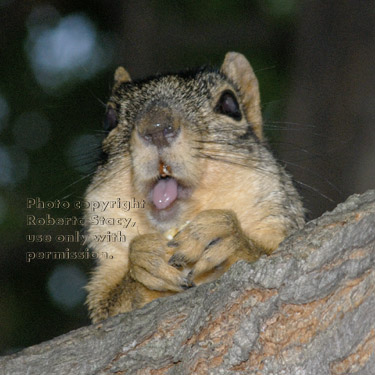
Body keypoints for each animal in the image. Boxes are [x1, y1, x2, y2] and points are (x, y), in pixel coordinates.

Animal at [84, 52, 306, 324]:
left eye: (230, 104)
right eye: (109, 118)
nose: (156, 127)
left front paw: (228, 236)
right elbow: (112, 305)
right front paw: (143, 260)